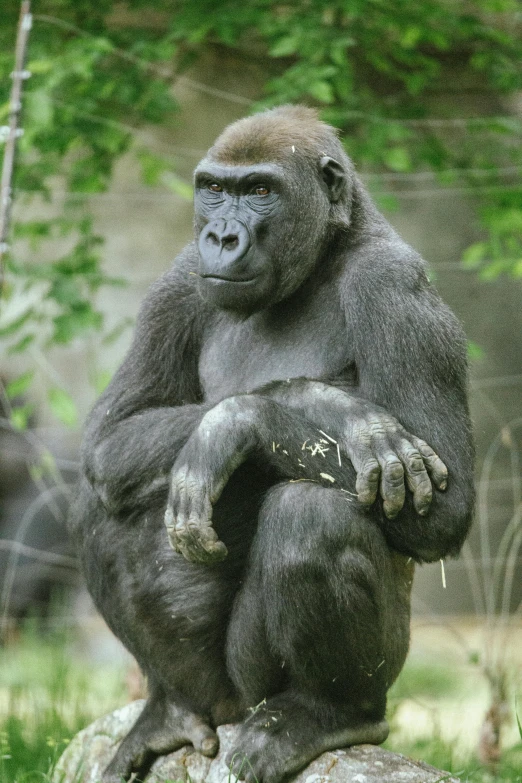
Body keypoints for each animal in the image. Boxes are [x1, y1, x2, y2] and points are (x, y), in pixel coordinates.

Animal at [70, 105, 476, 783]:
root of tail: (231, 711)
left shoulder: (394, 285)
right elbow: (110, 438)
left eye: (260, 191)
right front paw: (321, 404)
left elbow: (445, 511)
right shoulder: (180, 276)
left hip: (311, 682)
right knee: (104, 505)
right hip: (218, 698)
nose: (222, 237)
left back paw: (329, 714)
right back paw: (170, 707)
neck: (331, 246)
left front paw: (240, 420)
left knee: (311, 516)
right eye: (214, 189)